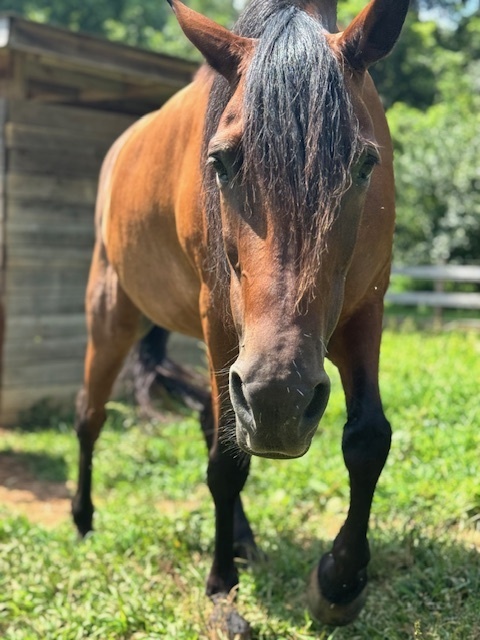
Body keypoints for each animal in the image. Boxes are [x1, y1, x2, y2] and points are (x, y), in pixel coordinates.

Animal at [71, 0, 409, 628]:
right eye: (222, 162)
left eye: (363, 164)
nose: (280, 401)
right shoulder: (220, 322)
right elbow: (226, 463)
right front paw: (221, 591)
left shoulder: (365, 309)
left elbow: (368, 439)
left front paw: (339, 581)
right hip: (113, 314)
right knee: (90, 417)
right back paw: (83, 521)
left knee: (216, 422)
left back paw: (245, 540)